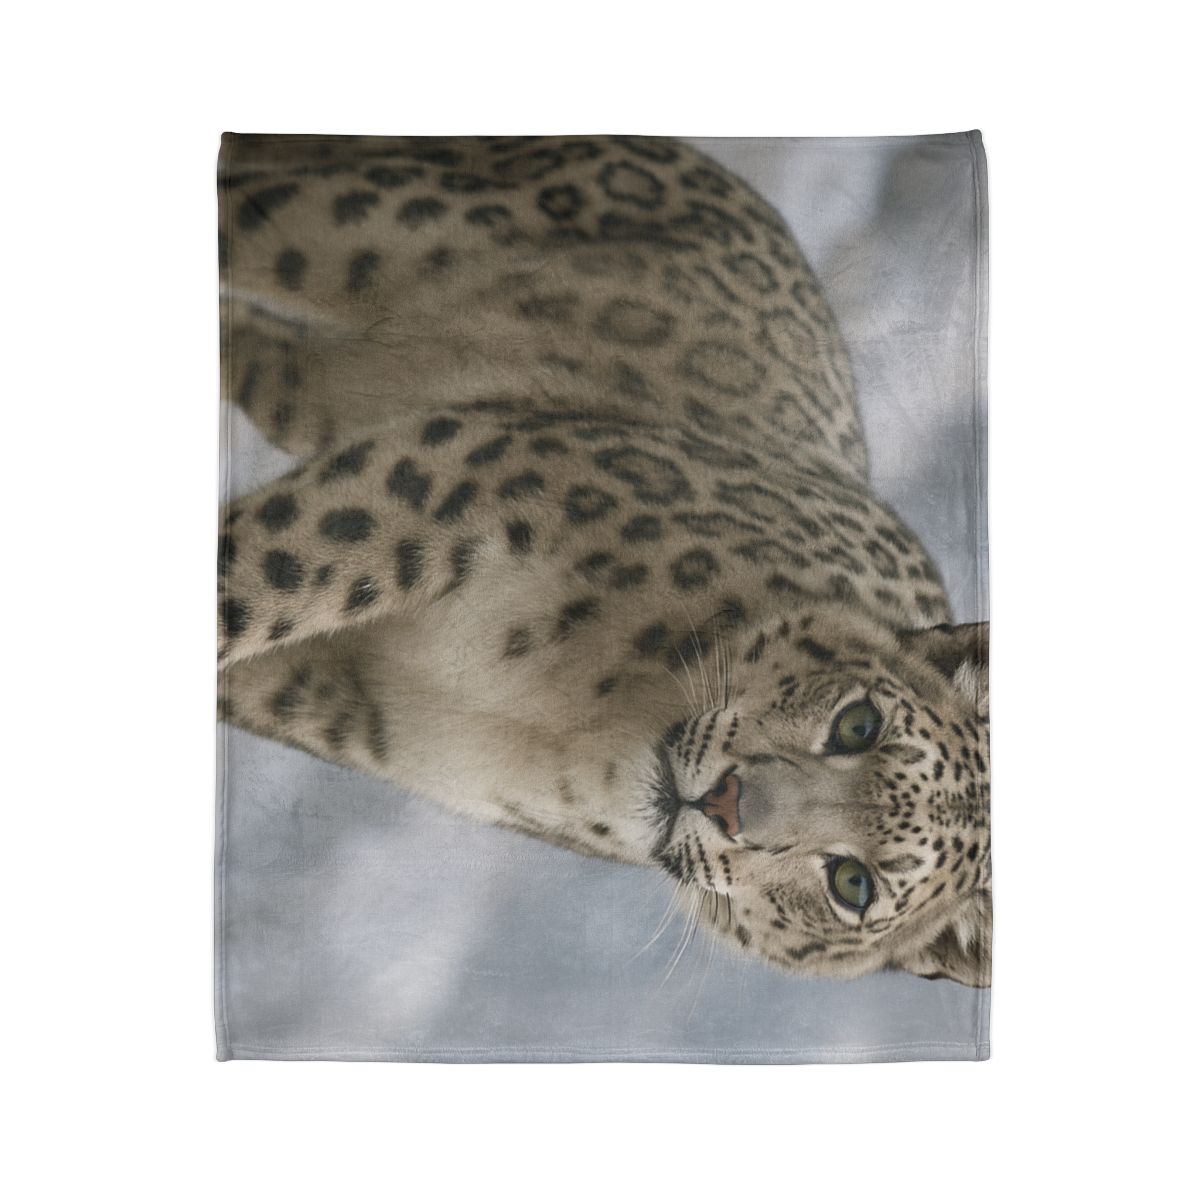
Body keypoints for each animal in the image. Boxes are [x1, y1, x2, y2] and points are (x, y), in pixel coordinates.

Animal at [217, 134, 990, 987]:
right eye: (859, 723)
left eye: (853, 884)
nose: (729, 802)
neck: (573, 719)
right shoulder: (462, 476)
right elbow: (263, 577)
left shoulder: (356, 702)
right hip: (364, 223)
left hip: (314, 387)